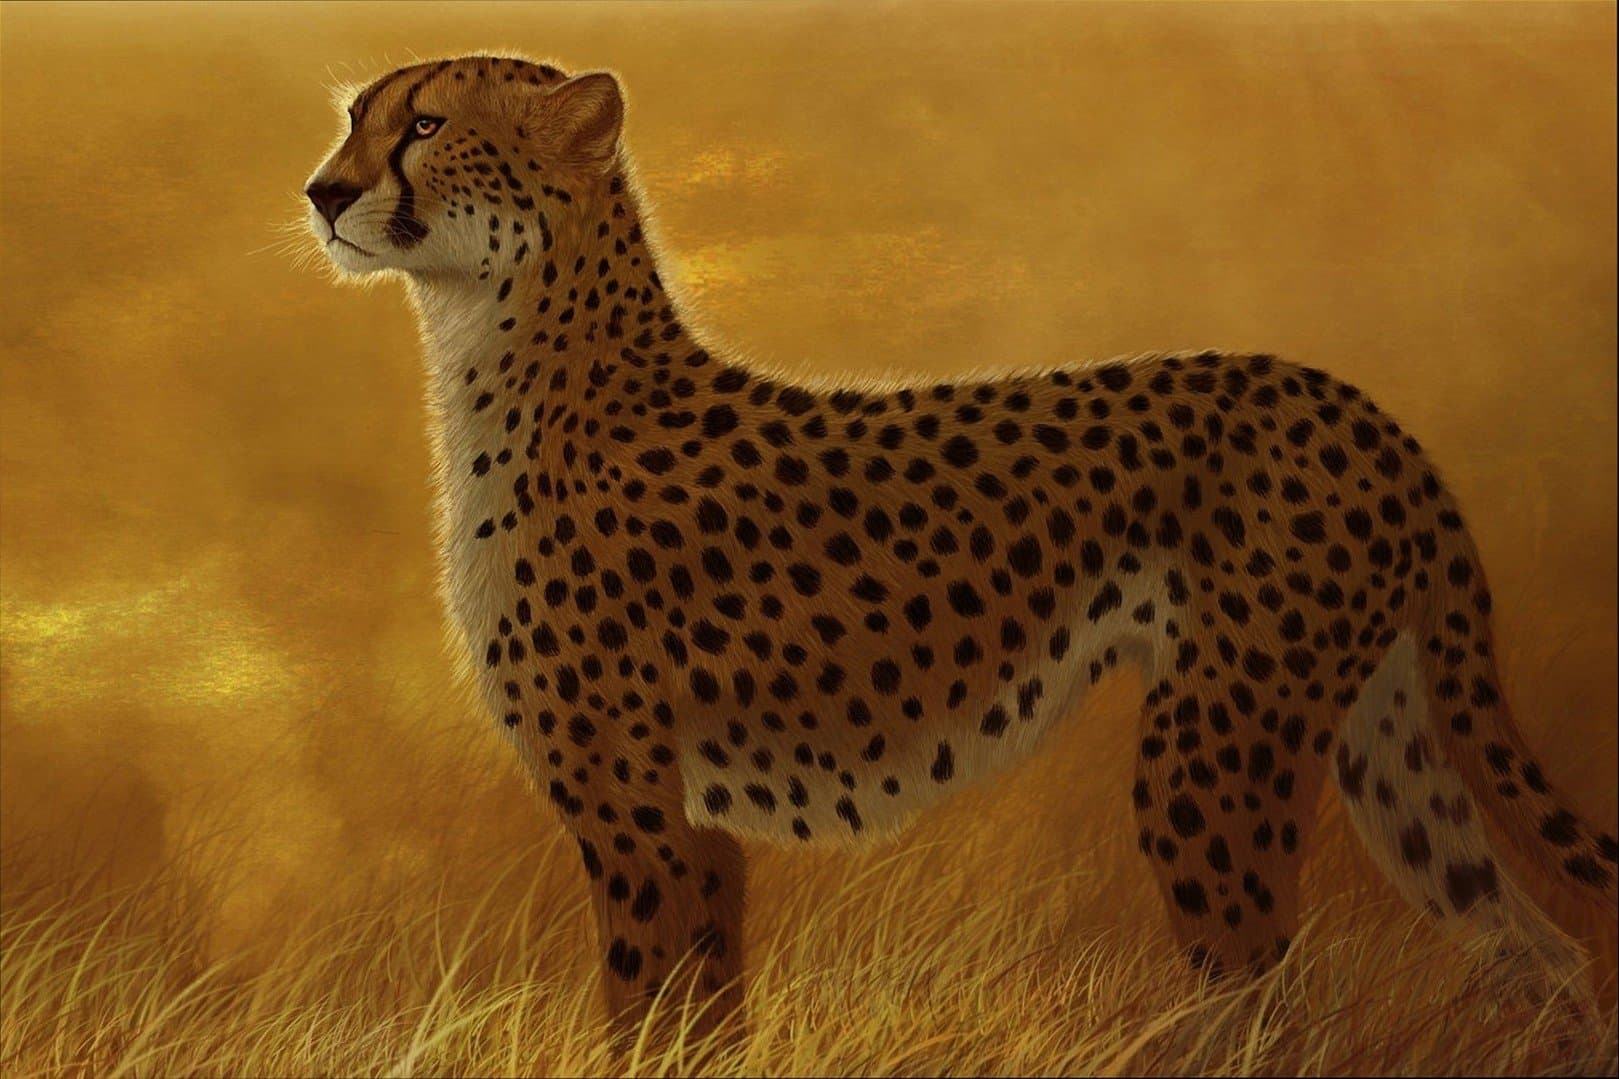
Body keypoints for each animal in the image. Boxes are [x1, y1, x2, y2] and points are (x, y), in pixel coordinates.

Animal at [304, 54, 1619, 1041]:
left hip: (1210, 757)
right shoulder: (696, 824)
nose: (320, 191)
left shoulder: (632, 815)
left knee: (1267, 999)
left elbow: (643, 1016)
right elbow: (702, 1020)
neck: (505, 345)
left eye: (426, 124)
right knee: (1542, 951)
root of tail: (1358, 406)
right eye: (356, 120)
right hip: (1380, 741)